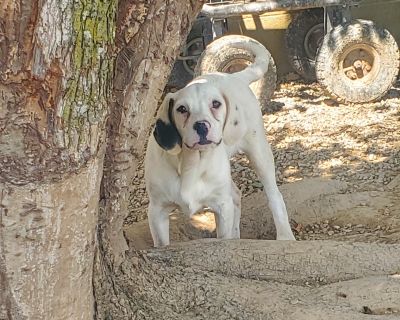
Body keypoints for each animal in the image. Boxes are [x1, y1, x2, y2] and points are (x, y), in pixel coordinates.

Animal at [145, 36, 296, 246]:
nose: (202, 126)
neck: (190, 164)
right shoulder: (157, 211)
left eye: (215, 104)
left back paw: (284, 236)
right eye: (182, 109)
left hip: (259, 154)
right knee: (237, 195)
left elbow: (223, 239)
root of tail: (235, 77)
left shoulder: (221, 206)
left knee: (274, 196)